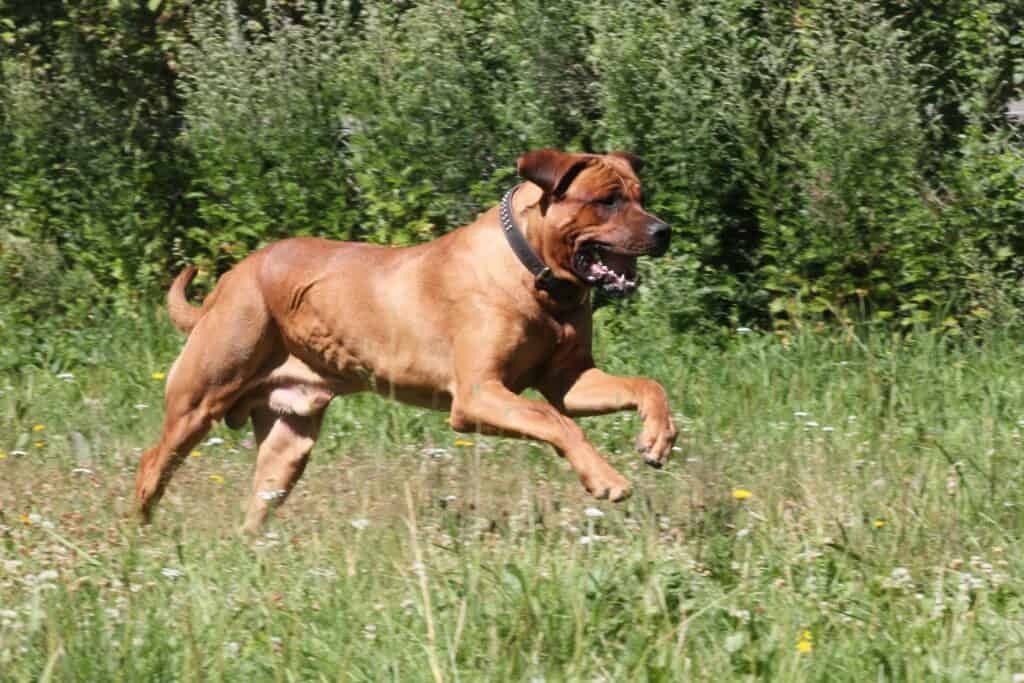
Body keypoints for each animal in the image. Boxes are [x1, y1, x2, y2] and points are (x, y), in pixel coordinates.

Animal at [138, 150, 679, 532]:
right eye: (607, 200)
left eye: (640, 195)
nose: (664, 230)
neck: (539, 278)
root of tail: (230, 280)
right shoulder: (477, 395)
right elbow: (556, 421)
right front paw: (606, 479)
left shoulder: (570, 380)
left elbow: (644, 385)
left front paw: (658, 435)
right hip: (199, 399)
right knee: (151, 465)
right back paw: (141, 535)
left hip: (288, 439)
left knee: (260, 498)